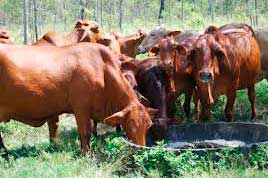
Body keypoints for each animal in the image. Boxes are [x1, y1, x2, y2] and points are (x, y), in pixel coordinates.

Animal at [0, 42, 156, 154]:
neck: (102, 68)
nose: (141, 150)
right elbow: (85, 132)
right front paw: (85, 154)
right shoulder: (81, 108)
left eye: (148, 126)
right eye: (130, 126)